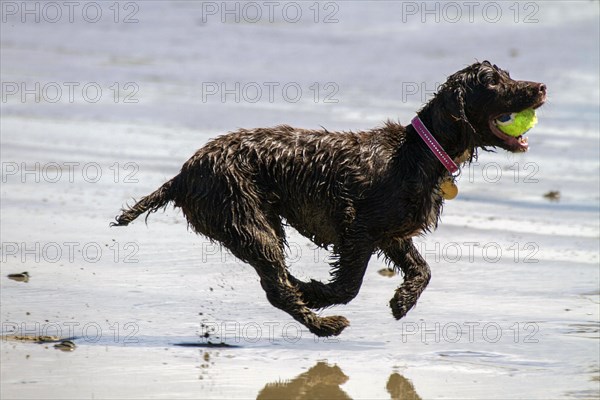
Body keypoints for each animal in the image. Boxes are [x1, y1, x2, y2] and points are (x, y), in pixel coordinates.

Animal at [110, 61, 548, 338]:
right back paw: (324, 325)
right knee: (276, 288)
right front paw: (314, 291)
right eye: (492, 82)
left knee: (274, 284)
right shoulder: (358, 228)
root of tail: (183, 175)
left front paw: (402, 301)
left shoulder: (391, 233)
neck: (417, 153)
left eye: (506, 75)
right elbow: (347, 287)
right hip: (250, 223)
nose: (541, 87)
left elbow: (423, 271)